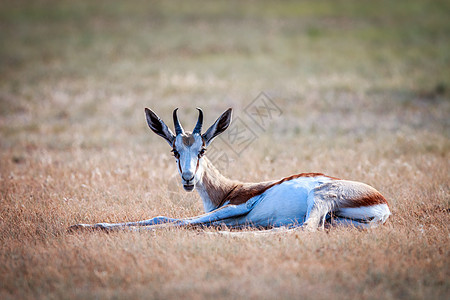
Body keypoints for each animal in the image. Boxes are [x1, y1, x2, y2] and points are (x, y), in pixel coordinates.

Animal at [70, 108, 390, 232]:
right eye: (175, 151)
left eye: (202, 150)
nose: (188, 179)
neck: (228, 189)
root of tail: (382, 203)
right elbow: (166, 216)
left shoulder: (235, 207)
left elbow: (178, 220)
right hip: (337, 221)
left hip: (320, 196)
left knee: (304, 228)